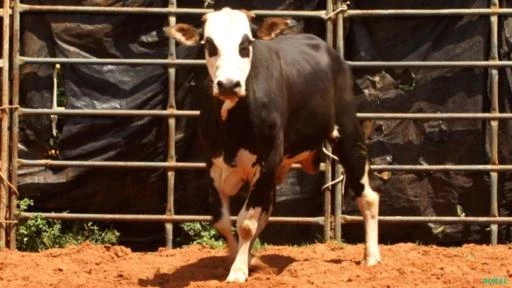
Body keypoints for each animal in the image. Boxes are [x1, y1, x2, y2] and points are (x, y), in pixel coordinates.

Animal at [168, 7, 380, 282]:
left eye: (245, 44)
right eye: (209, 44)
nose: (228, 84)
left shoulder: (267, 161)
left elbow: (246, 223)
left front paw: (239, 271)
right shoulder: (213, 165)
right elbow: (223, 221)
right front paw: (247, 260)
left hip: (347, 133)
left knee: (368, 197)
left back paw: (372, 257)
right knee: (265, 212)